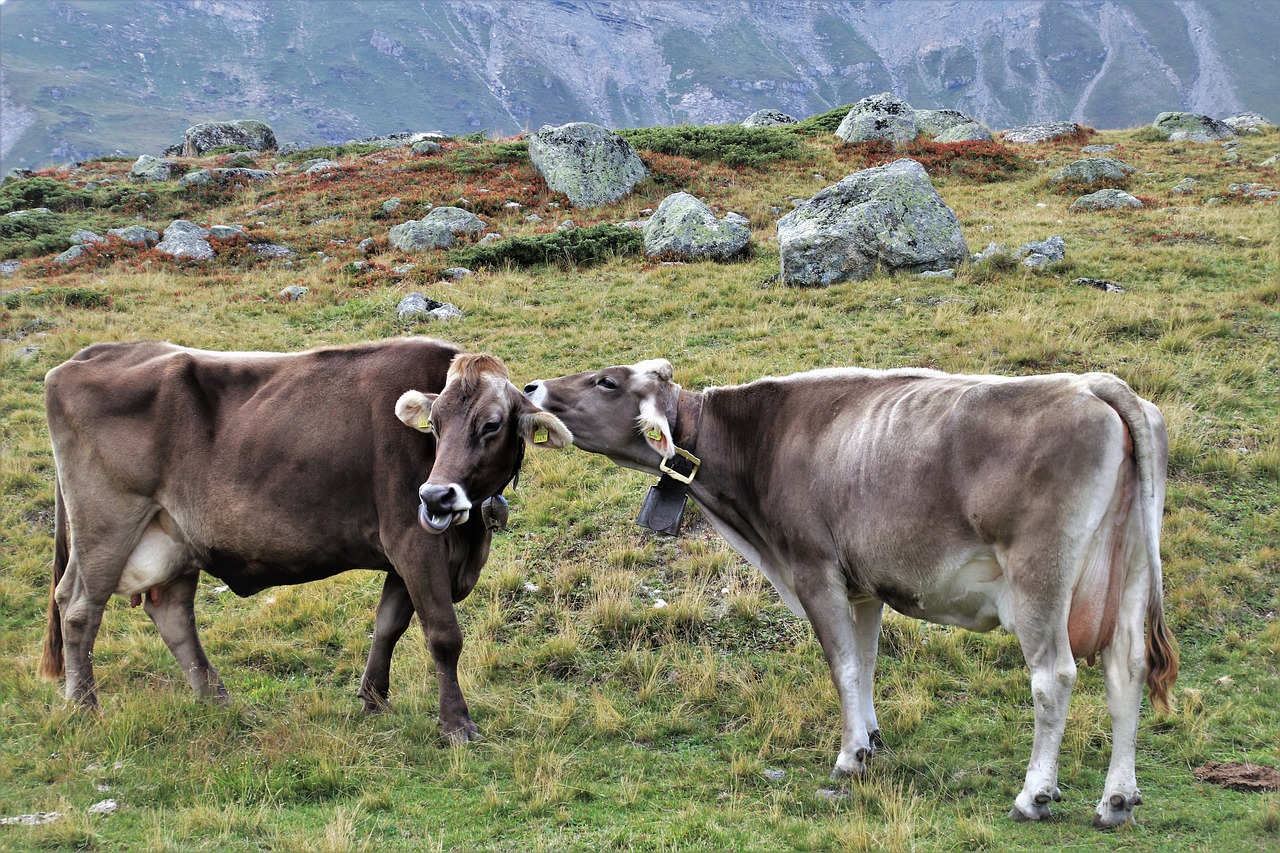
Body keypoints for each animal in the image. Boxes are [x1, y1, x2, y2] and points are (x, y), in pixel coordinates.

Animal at [40, 338, 570, 737]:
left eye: (492, 424)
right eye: (434, 425)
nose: (436, 496)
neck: (469, 538)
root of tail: (92, 354)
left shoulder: (404, 553)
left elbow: (388, 624)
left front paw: (373, 699)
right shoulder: (413, 540)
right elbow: (442, 635)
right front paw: (456, 723)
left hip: (173, 538)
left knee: (171, 613)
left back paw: (218, 701)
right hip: (106, 525)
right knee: (79, 607)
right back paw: (84, 707)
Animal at [524, 356, 1172, 824]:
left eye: (607, 381)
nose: (530, 387)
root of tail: (1092, 385)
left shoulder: (815, 569)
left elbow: (843, 666)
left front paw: (848, 757)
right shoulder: (864, 586)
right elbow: (866, 660)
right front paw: (871, 739)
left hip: (1040, 577)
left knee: (1053, 676)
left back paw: (1034, 794)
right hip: (1133, 571)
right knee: (1127, 670)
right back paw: (1117, 799)